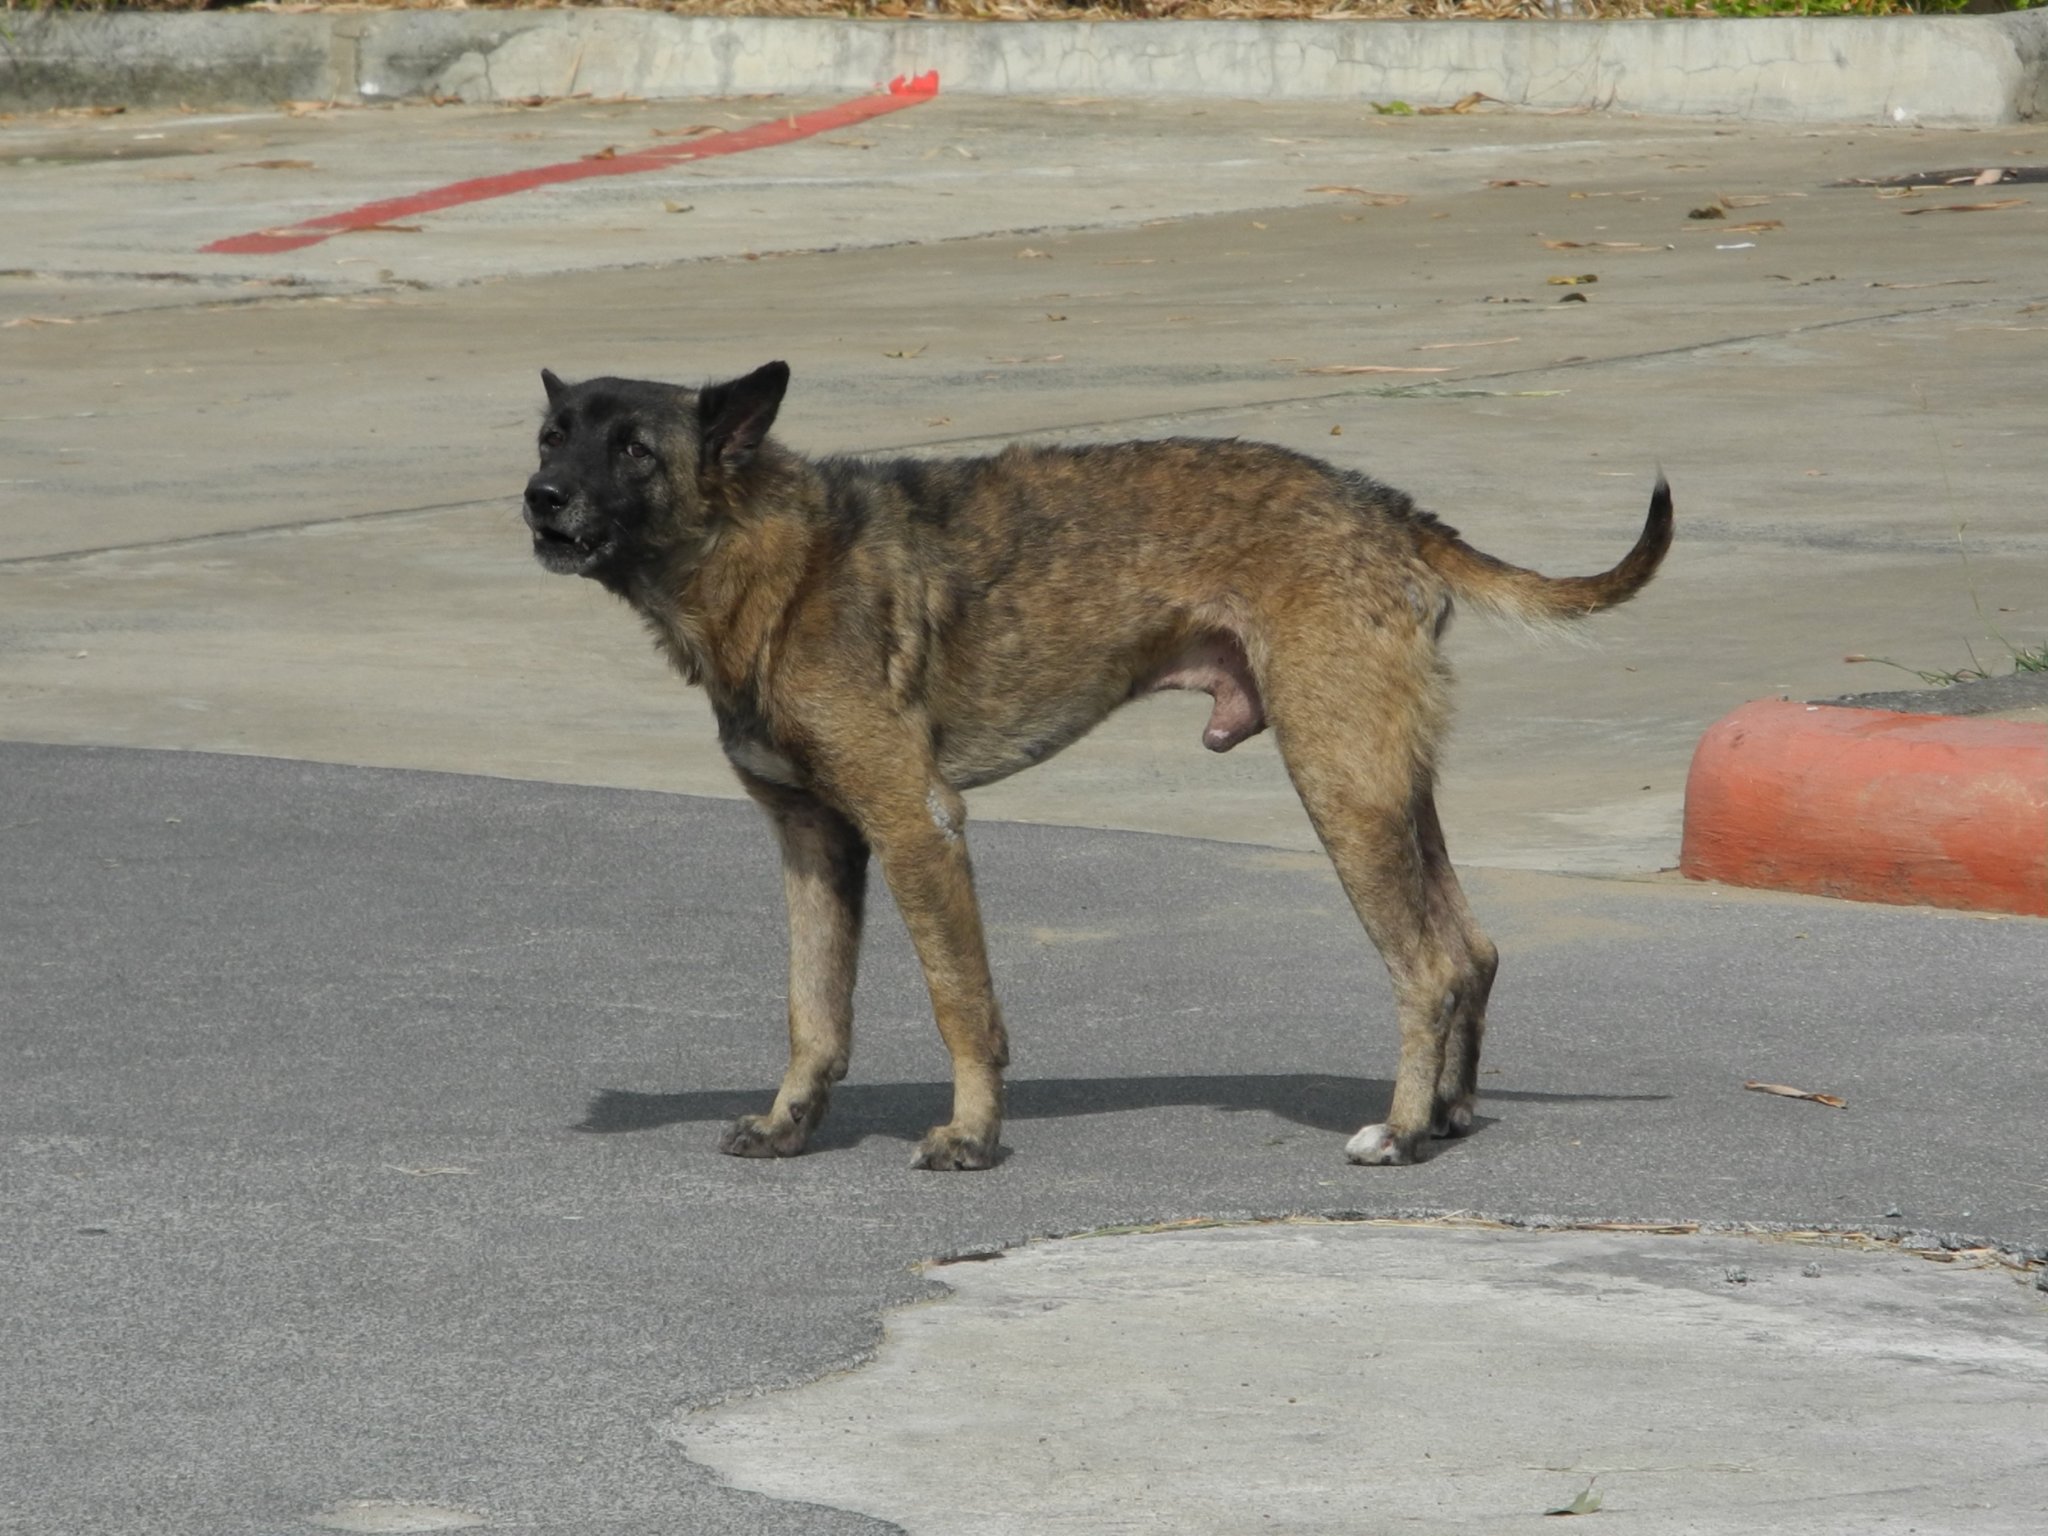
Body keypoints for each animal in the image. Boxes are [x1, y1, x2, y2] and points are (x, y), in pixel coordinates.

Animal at [522, 361, 1671, 1170]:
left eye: (634, 449)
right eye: (551, 435)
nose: (539, 498)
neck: (772, 556)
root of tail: (1388, 508)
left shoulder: (915, 827)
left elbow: (960, 1004)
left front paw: (972, 1137)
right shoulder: (814, 843)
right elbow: (815, 1012)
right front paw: (788, 1125)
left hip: (1341, 787)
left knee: (1425, 967)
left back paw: (1396, 1131)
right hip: (1390, 787)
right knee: (1471, 950)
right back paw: (1444, 1115)